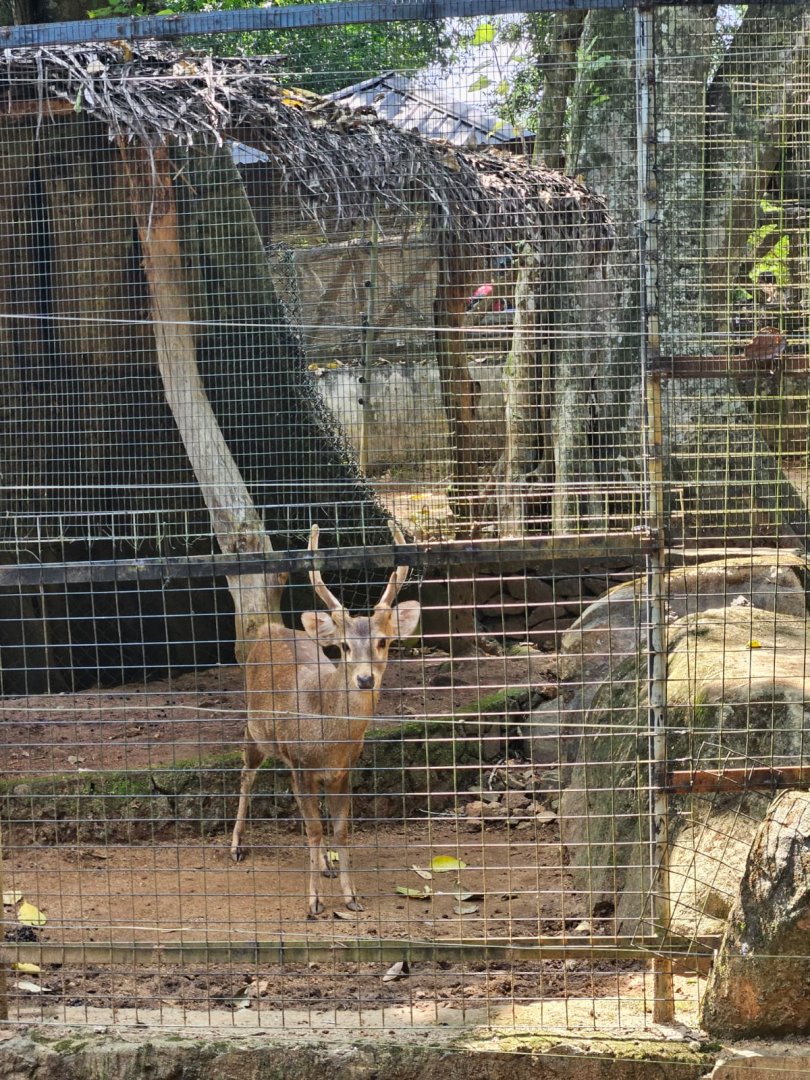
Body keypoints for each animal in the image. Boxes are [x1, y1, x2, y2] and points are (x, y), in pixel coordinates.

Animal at [229, 520, 421, 917]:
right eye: (345, 646)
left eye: (383, 641)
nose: (364, 679)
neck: (330, 738)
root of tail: (270, 627)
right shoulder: (302, 763)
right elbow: (315, 830)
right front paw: (314, 902)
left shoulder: (343, 769)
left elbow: (341, 830)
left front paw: (350, 896)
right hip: (255, 726)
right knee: (246, 774)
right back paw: (237, 845)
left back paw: (325, 866)